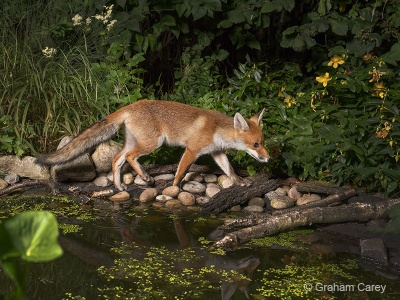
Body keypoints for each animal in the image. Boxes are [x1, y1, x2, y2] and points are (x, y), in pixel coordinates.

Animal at [36, 101, 268, 190]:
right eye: (255, 144)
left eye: (263, 143)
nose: (268, 158)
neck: (216, 130)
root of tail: (131, 105)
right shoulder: (192, 150)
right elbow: (180, 171)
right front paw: (174, 187)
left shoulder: (217, 153)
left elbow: (229, 170)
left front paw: (239, 182)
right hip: (152, 143)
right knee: (130, 157)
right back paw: (145, 176)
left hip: (134, 142)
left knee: (116, 159)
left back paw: (119, 186)